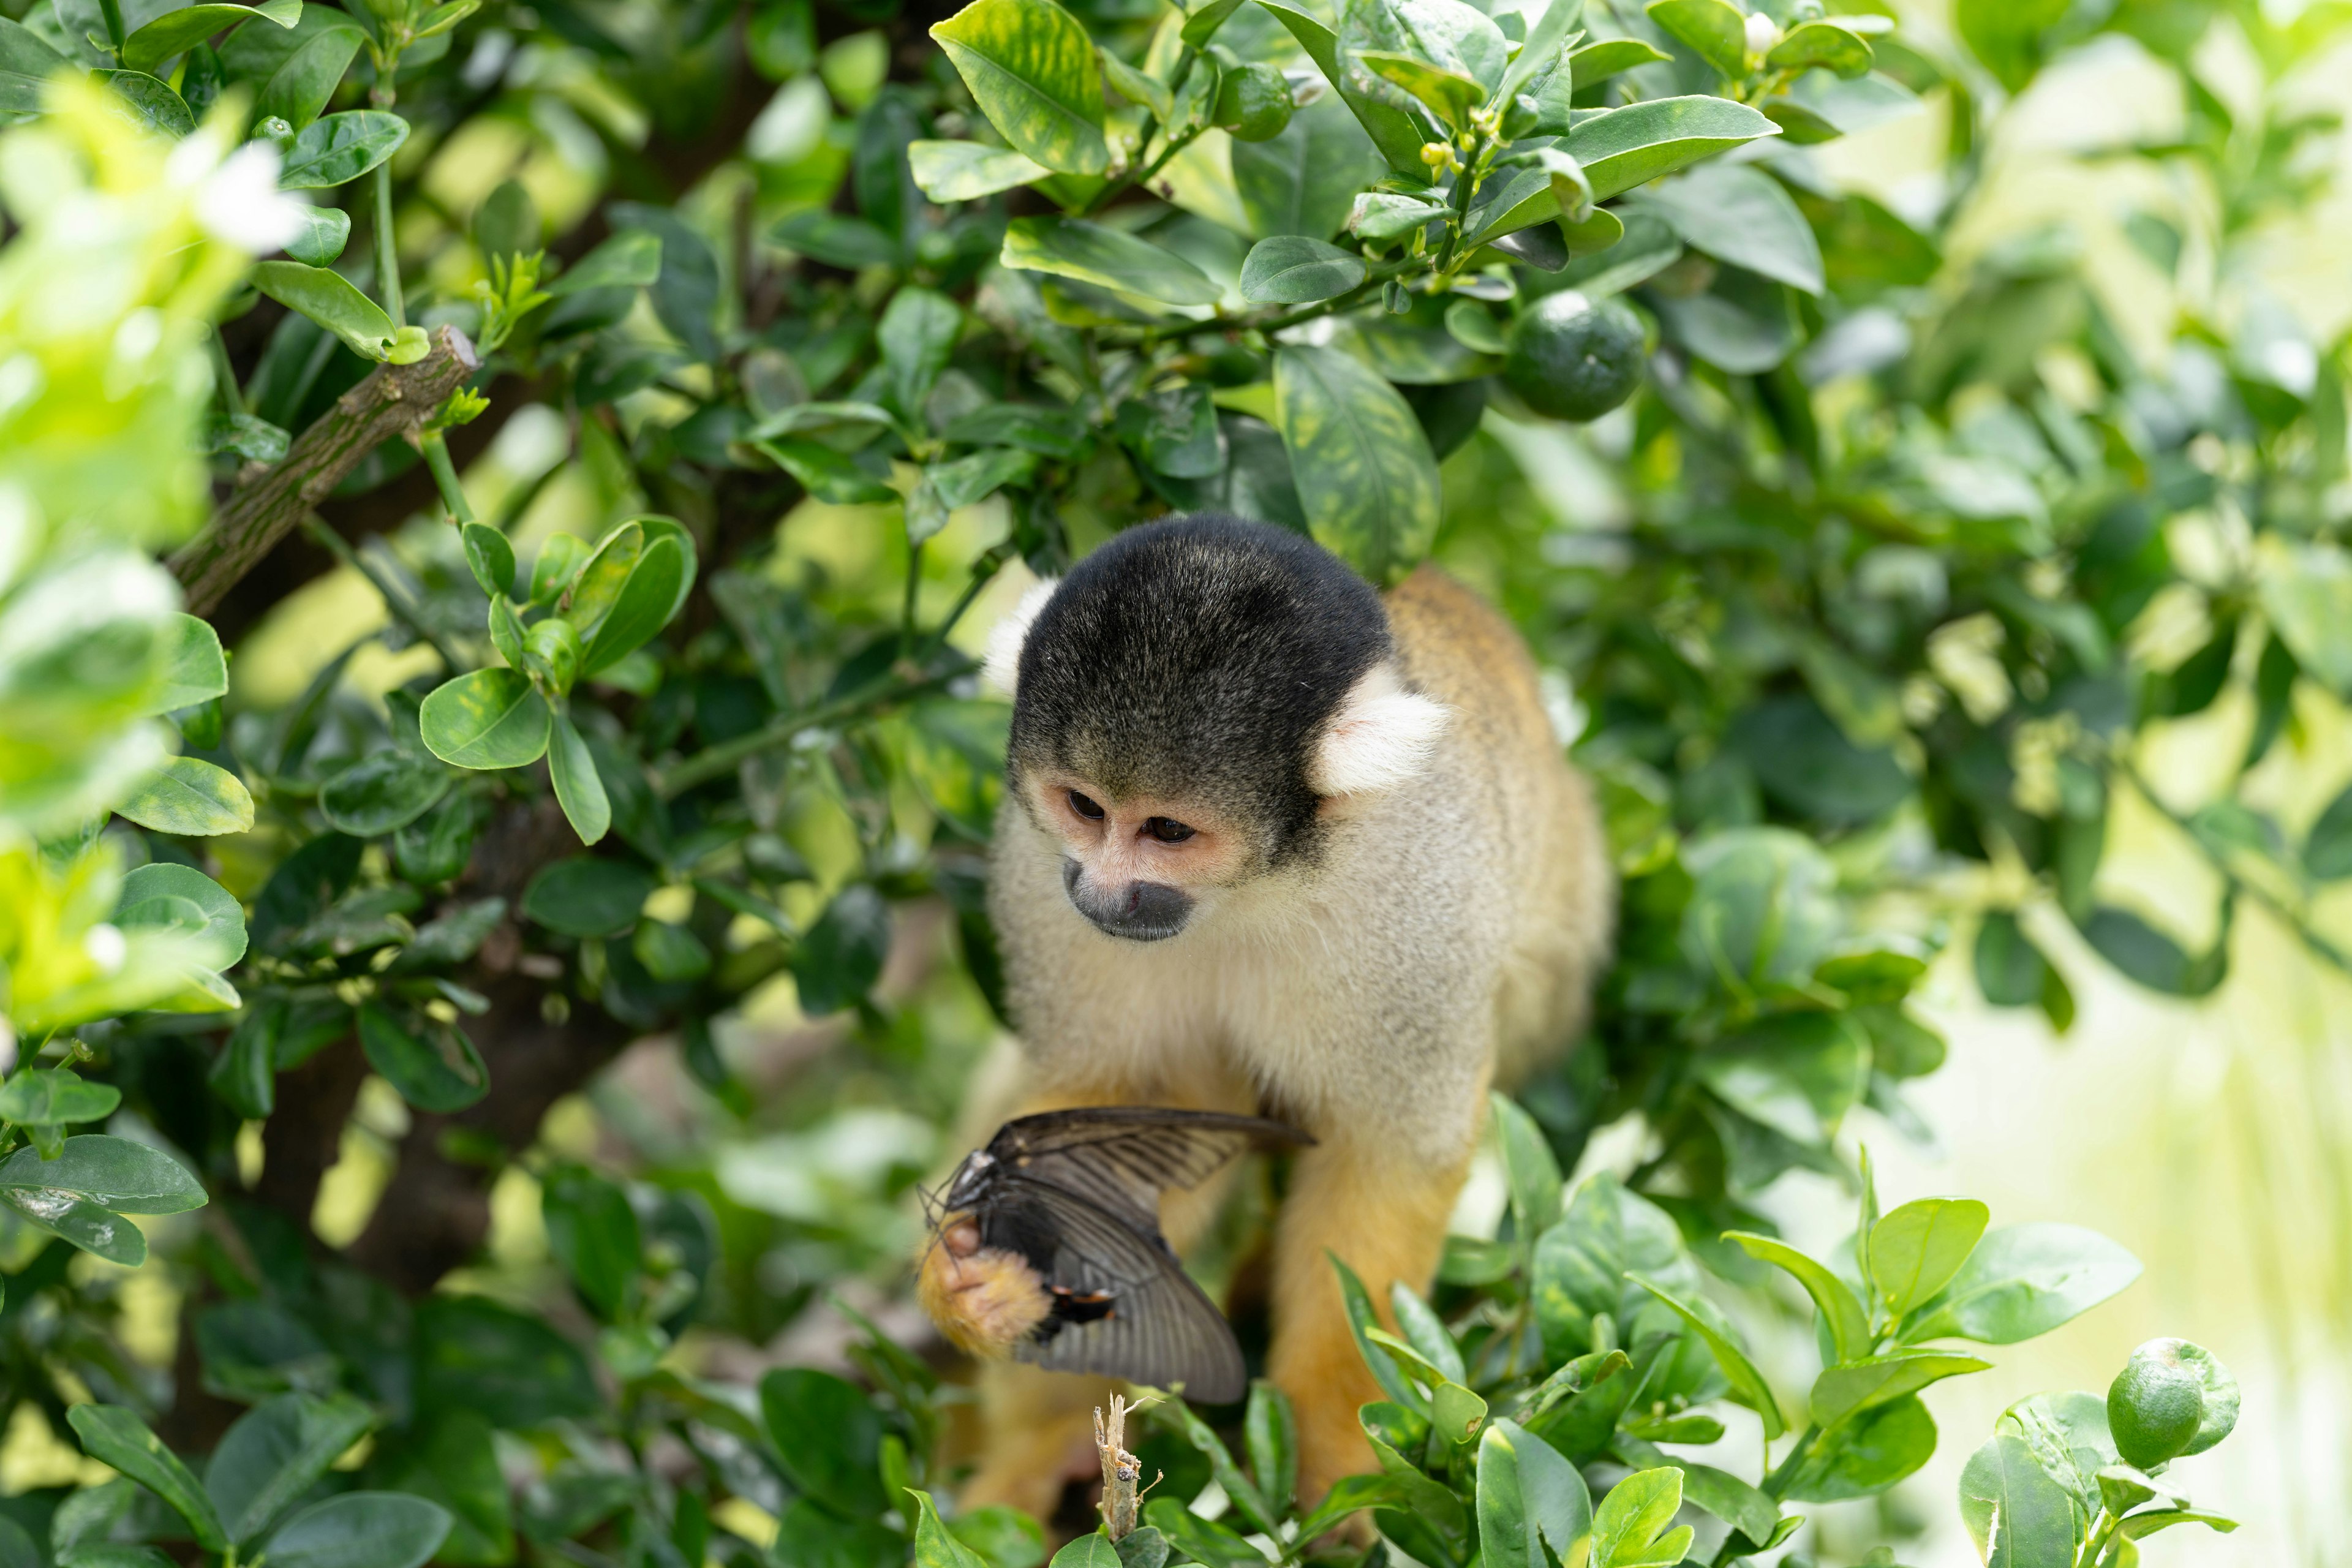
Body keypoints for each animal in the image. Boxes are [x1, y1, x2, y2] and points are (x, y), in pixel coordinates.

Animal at [917, 514, 1618, 1523]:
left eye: (1168, 832)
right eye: (1085, 807)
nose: (1101, 893)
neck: (1250, 891)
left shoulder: (1422, 905)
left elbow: (1392, 1157)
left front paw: (1335, 1464)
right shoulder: (1033, 870)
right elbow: (1141, 1124)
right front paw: (984, 1293)